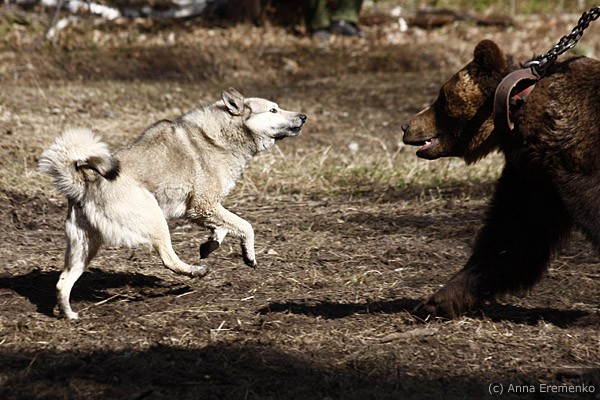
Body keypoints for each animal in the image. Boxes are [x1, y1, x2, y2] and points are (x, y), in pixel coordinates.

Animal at [39, 88, 307, 319]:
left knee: (62, 282)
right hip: (155, 221)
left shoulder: (202, 209)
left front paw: (210, 245)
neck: (219, 137)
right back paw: (196, 272)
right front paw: (248, 255)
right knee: (169, 259)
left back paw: (69, 315)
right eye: (273, 110)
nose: (303, 116)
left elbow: (222, 228)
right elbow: (246, 226)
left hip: (84, 247)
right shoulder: (204, 204)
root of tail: (84, 183)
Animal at [402, 39, 600, 318]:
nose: (406, 126)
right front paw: (440, 299)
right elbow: (514, 233)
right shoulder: (535, 176)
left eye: (441, 98)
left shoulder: (575, 163)